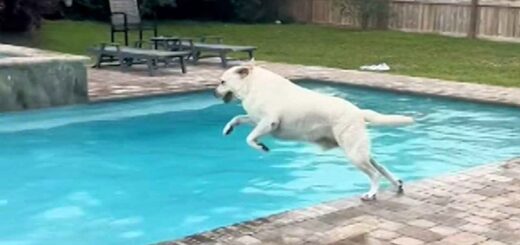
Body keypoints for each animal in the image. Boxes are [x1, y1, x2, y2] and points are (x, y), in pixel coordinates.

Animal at [214, 63, 414, 201]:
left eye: (222, 82)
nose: (214, 93)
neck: (252, 85)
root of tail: (358, 112)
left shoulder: (269, 122)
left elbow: (249, 138)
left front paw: (261, 146)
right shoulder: (256, 119)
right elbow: (238, 118)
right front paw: (228, 128)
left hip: (354, 154)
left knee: (375, 174)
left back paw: (371, 193)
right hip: (359, 151)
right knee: (381, 167)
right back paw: (397, 184)